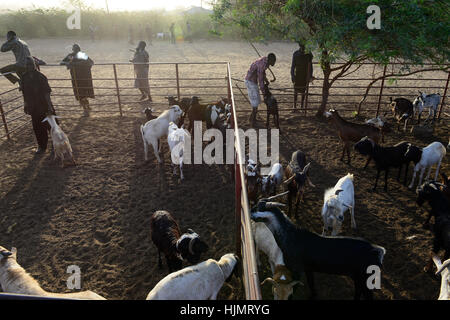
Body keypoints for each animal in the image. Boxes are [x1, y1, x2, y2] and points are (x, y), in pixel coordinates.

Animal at [251, 195, 384, 300]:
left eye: (259, 208)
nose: (250, 212)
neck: (291, 235)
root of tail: (378, 251)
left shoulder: (297, 269)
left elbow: (295, 286)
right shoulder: (308, 269)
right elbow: (311, 283)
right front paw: (313, 296)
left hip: (365, 279)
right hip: (357, 278)